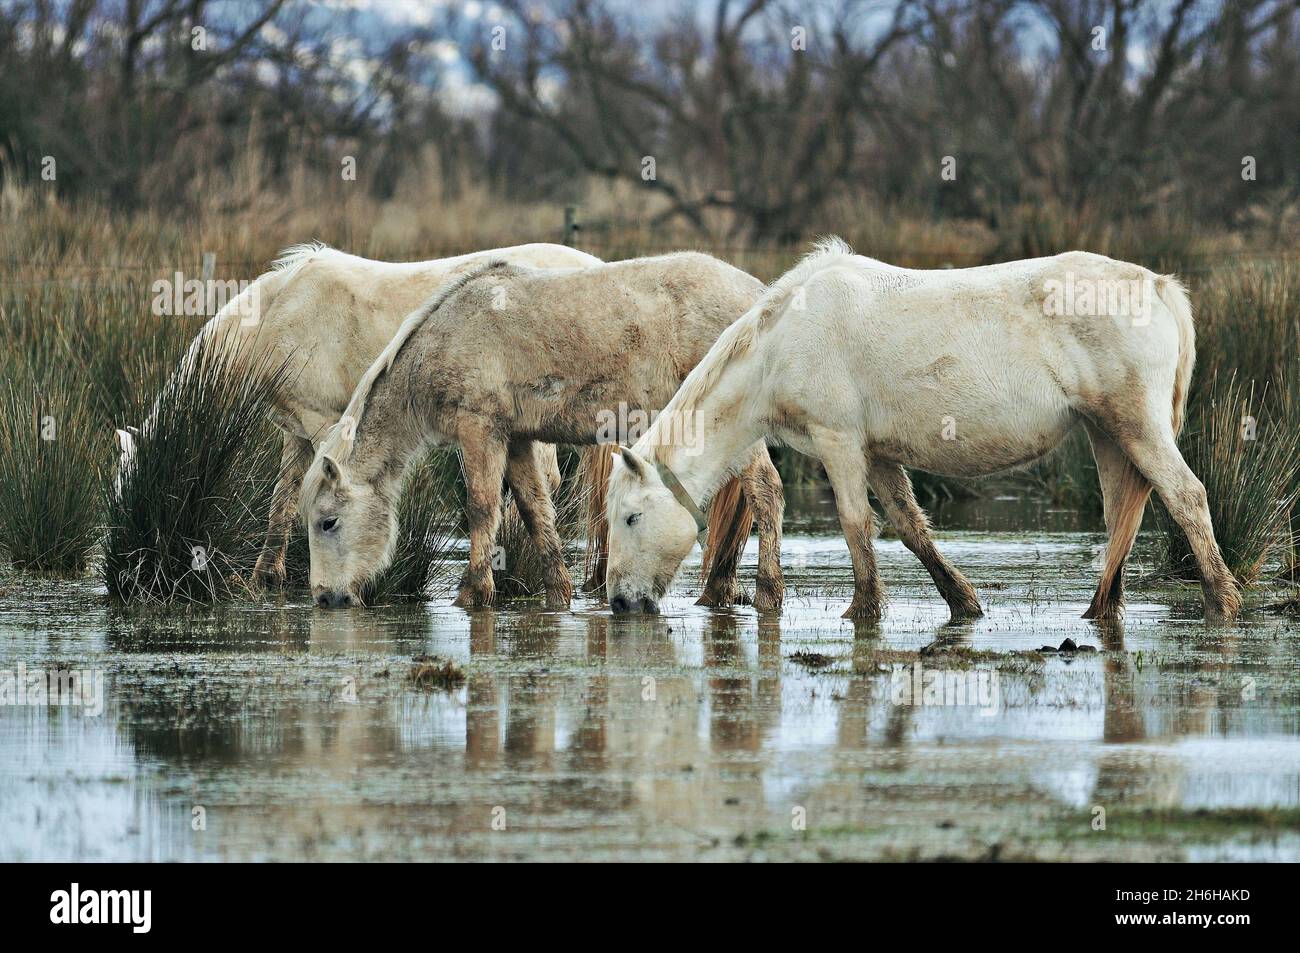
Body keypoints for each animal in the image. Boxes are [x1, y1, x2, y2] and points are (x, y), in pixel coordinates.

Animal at [113, 239, 598, 579]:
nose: (124, 558)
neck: (275, 315)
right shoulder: (295, 431)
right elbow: (281, 504)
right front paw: (262, 579)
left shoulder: (323, 424)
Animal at [603, 239, 1242, 616]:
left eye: (631, 517)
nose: (619, 602)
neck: (783, 339)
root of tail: (1157, 284)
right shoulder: (879, 454)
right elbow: (912, 529)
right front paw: (964, 603)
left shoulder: (839, 443)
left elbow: (857, 526)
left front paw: (864, 610)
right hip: (1108, 433)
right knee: (1120, 518)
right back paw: (1100, 609)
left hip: (1137, 427)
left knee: (1187, 498)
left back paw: (1223, 600)